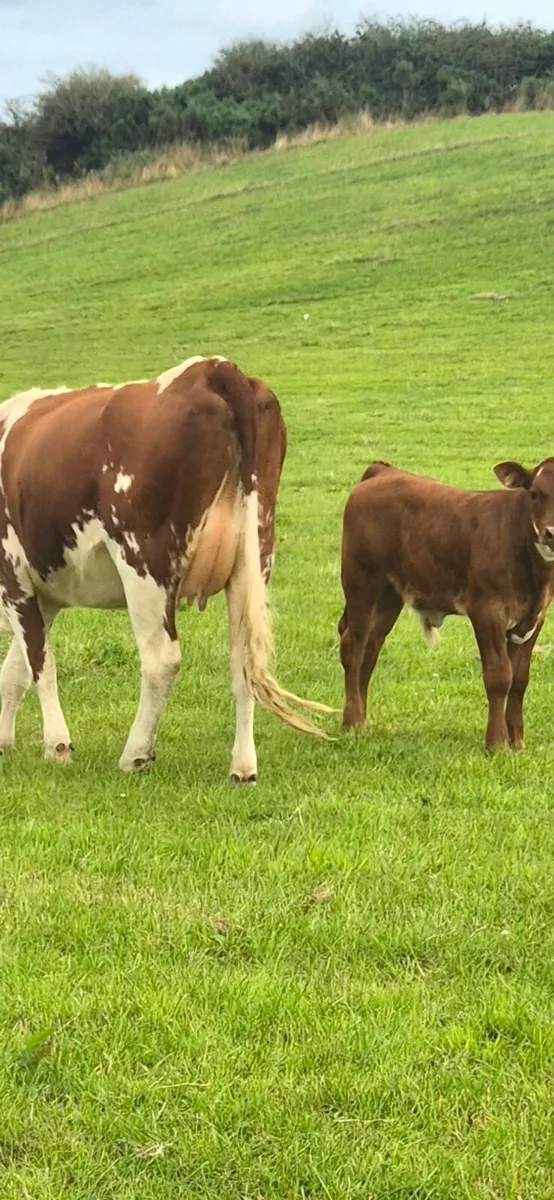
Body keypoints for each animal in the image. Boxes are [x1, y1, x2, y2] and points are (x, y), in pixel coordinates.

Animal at [0, 356, 330, 780]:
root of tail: (211, 368)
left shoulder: (14, 577)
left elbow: (40, 665)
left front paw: (57, 745)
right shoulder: (46, 594)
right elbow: (15, 671)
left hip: (144, 563)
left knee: (161, 659)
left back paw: (135, 754)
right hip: (255, 555)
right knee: (243, 659)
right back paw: (243, 767)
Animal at [339, 458, 554, 752]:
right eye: (534, 494)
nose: (551, 533)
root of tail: (383, 471)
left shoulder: (535, 617)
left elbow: (520, 679)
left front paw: (517, 741)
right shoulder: (487, 610)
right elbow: (499, 675)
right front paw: (497, 743)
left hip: (389, 595)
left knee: (370, 650)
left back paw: (361, 720)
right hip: (361, 581)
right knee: (353, 647)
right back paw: (351, 722)